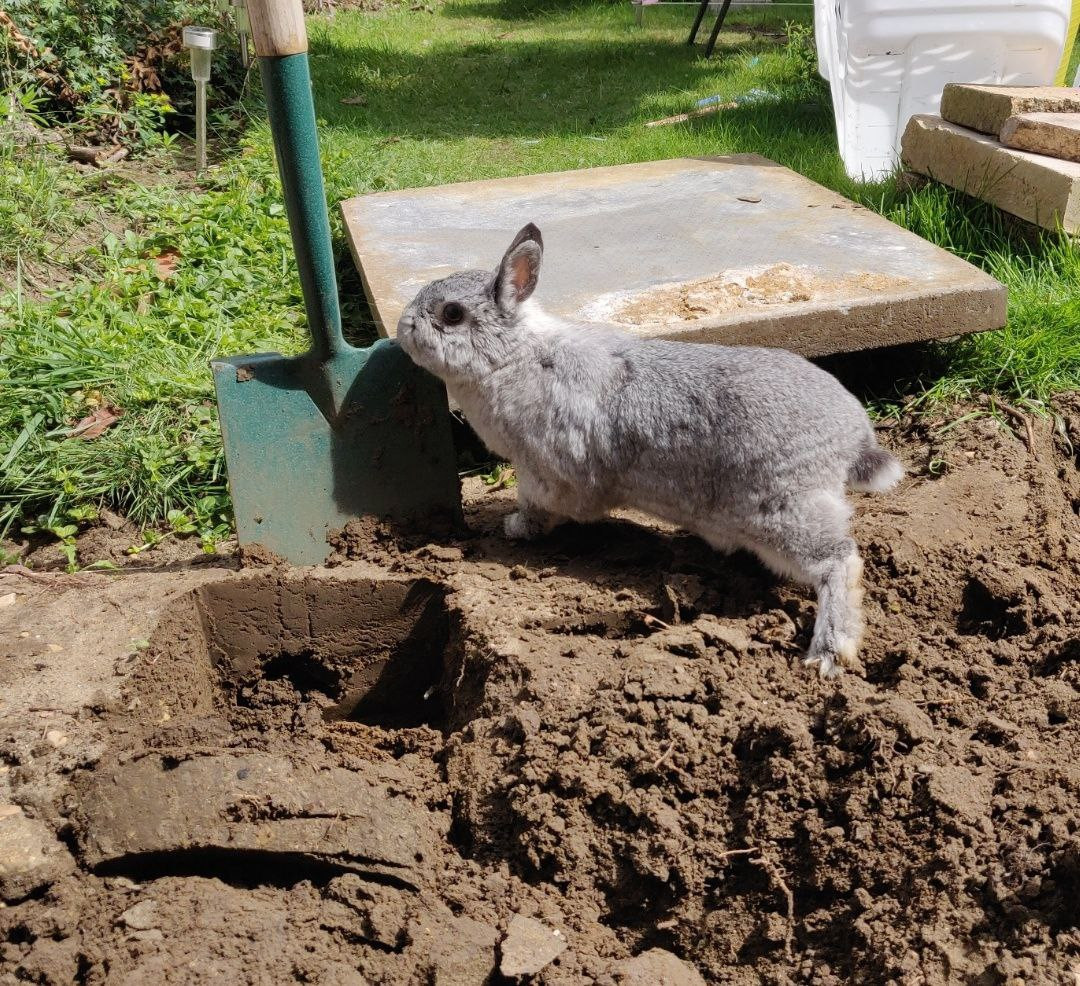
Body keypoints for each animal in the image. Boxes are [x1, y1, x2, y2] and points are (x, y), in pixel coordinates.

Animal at [397, 223, 902, 673]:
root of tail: (852, 436)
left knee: (839, 560)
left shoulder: (540, 473)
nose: (404, 326)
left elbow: (537, 507)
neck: (511, 358)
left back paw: (829, 654)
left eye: (452, 314)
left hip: (780, 510)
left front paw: (515, 528)